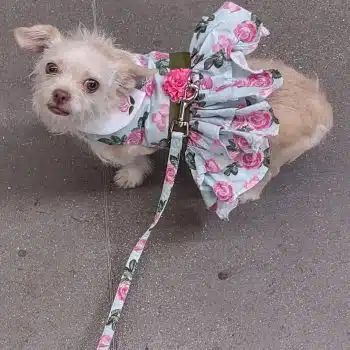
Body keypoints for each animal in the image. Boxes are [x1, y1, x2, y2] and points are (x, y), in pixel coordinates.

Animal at [13, 21, 330, 205]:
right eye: (51, 68)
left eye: (92, 84)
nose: (60, 94)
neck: (118, 100)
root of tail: (321, 106)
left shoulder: (134, 143)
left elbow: (135, 161)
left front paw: (131, 176)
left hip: (266, 152)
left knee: (268, 173)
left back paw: (248, 193)